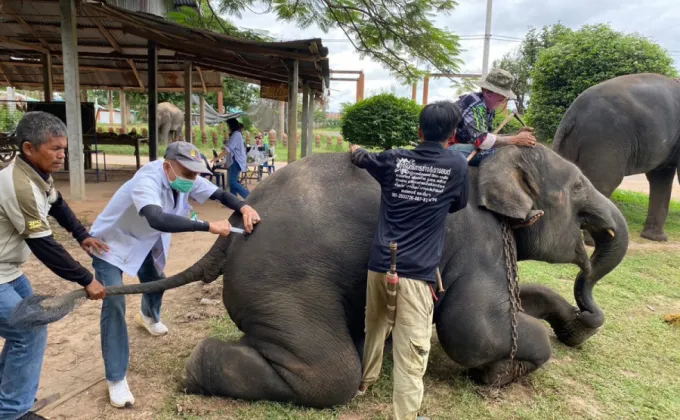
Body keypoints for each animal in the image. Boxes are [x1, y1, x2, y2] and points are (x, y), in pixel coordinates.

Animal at [95, 144, 628, 406]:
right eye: (578, 187)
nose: (587, 313)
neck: (486, 165)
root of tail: (237, 223)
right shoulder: (476, 235)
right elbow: (474, 329)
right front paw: (502, 372)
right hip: (280, 282)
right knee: (330, 374)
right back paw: (195, 370)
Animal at [556, 72, 676, 241]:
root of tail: (571, 115)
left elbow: (661, 176)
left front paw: (655, 238)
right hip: (605, 142)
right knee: (604, 183)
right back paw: (595, 240)